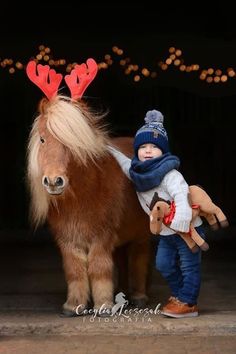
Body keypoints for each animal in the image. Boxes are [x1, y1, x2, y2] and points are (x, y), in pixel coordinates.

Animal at [26, 59, 151, 316]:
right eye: (42, 139)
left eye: (73, 141)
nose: (53, 181)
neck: (81, 196)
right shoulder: (67, 240)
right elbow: (74, 271)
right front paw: (74, 305)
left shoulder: (101, 238)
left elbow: (99, 270)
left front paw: (103, 305)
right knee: (122, 260)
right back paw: (121, 293)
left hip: (141, 234)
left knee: (138, 259)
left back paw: (138, 297)